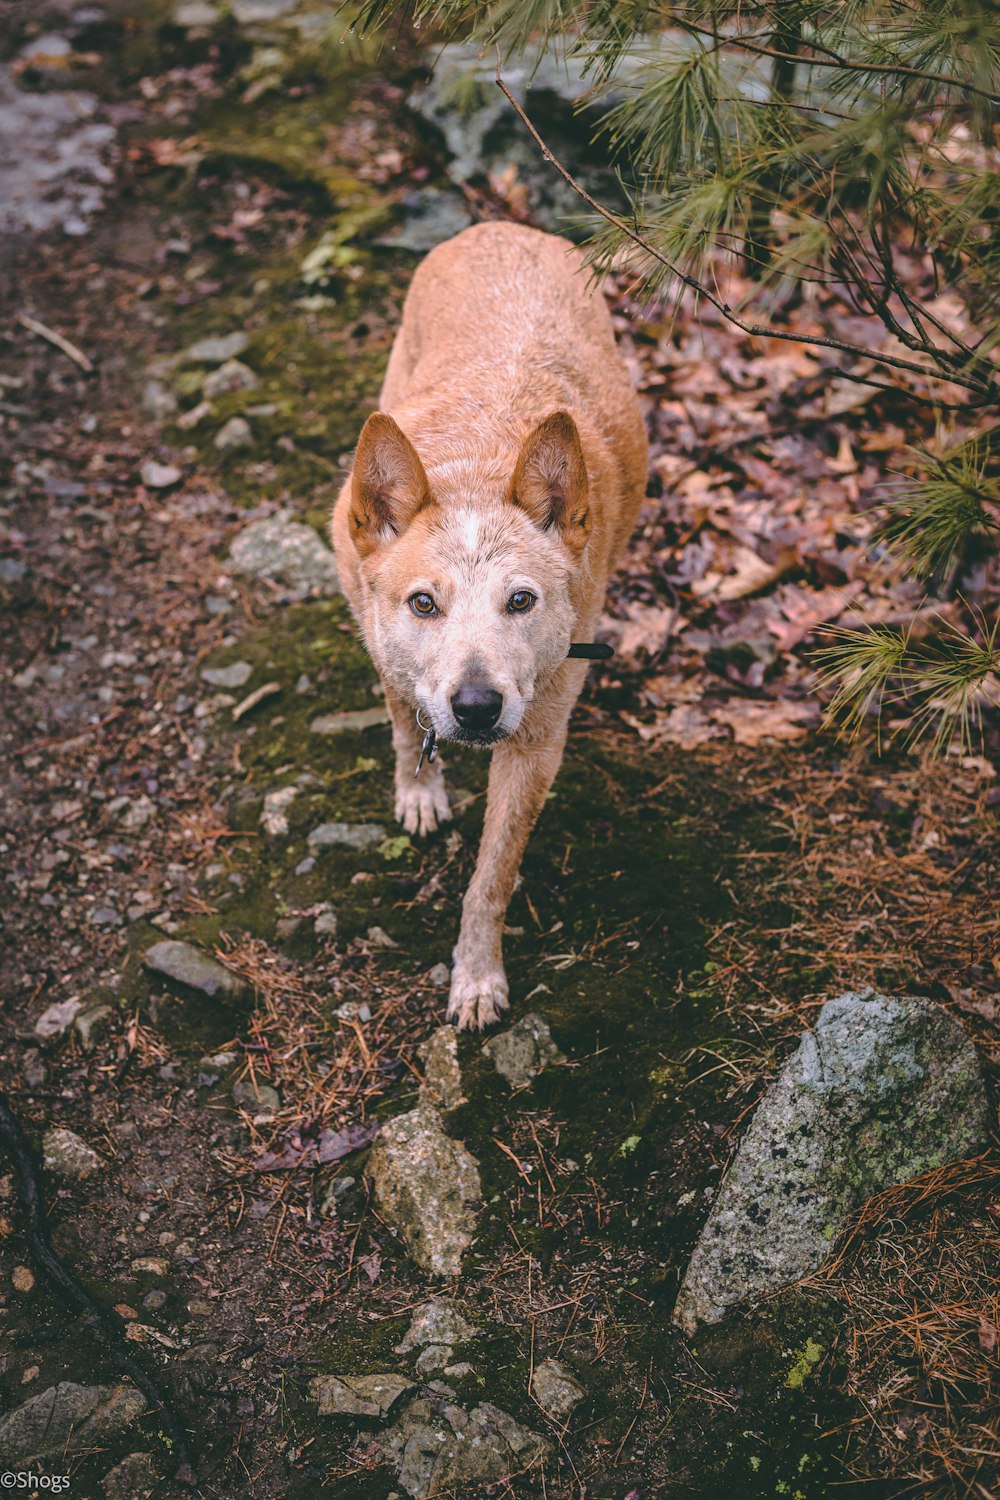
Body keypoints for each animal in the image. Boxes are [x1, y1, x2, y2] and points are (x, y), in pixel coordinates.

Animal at [334, 222, 650, 1032]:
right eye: (423, 603)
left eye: (521, 601)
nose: (476, 708)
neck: (477, 468)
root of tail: (499, 227)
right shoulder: (381, 640)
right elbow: (402, 717)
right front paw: (419, 790)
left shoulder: (536, 742)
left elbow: (491, 877)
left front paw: (476, 977)